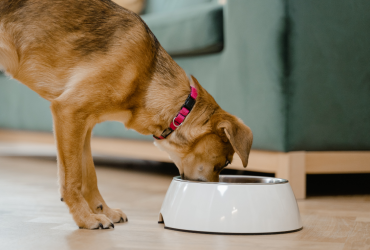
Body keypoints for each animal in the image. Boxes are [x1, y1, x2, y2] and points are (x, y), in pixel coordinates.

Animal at [0, 0, 253, 229]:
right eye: (226, 161)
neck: (147, 78)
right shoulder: (68, 112)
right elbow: (72, 179)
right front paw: (86, 219)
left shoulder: (83, 125)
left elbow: (89, 175)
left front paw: (103, 210)